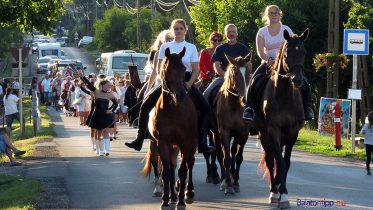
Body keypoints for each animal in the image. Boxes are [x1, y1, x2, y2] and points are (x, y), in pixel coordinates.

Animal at [147, 47, 198, 210]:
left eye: (183, 70)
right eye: (167, 70)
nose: (180, 95)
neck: (174, 110)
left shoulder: (186, 142)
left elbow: (182, 171)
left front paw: (181, 202)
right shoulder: (163, 142)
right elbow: (167, 172)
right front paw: (165, 201)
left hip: (189, 145)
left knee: (189, 163)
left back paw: (187, 194)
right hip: (165, 145)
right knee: (168, 166)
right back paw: (172, 196)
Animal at [209, 53, 253, 194]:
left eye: (248, 73)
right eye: (235, 73)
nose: (245, 99)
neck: (234, 104)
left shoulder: (243, 133)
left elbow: (238, 157)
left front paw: (236, 183)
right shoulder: (224, 132)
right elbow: (226, 159)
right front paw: (228, 185)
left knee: (232, 153)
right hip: (215, 134)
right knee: (220, 154)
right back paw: (223, 180)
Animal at [253, 29, 308, 208]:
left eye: (303, 52)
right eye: (287, 53)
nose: (297, 80)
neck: (284, 95)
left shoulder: (293, 132)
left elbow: (287, 161)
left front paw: (283, 192)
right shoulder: (273, 130)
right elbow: (279, 161)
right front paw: (281, 194)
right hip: (263, 134)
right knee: (270, 160)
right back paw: (273, 192)